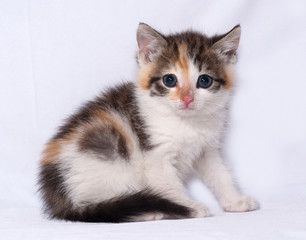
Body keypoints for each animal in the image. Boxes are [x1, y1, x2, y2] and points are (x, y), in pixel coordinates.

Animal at [37, 23, 258, 222]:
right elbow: (169, 185)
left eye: (204, 81)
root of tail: (57, 196)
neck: (186, 122)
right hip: (108, 163)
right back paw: (148, 212)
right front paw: (188, 207)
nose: (187, 99)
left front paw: (235, 201)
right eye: (169, 80)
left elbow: (219, 174)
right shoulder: (155, 156)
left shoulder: (207, 149)